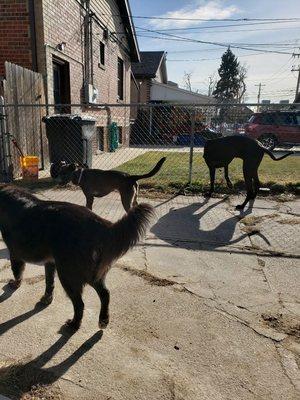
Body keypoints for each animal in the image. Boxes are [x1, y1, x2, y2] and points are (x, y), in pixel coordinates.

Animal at [0, 184, 154, 332]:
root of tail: (102, 225)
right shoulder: (50, 261)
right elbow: (49, 282)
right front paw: (47, 298)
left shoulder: (15, 253)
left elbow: (17, 271)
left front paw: (15, 284)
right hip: (91, 273)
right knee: (105, 293)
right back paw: (103, 320)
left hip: (68, 274)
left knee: (80, 304)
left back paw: (74, 324)